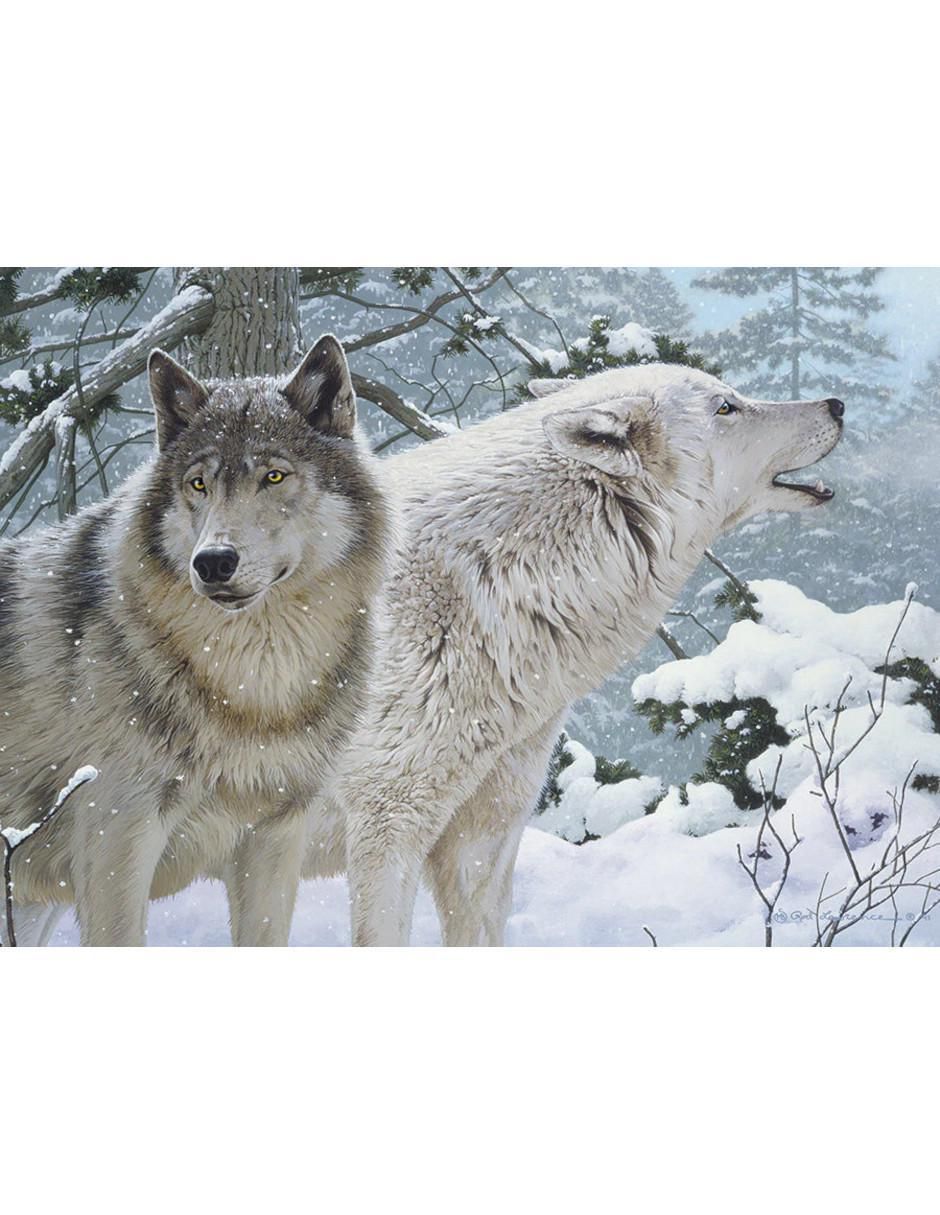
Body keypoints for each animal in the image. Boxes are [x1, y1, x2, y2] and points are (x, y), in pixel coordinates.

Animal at [0, 335, 390, 946]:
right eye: (198, 483)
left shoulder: (277, 833)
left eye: (273, 477)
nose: (212, 562)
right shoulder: (118, 839)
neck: (256, 689)